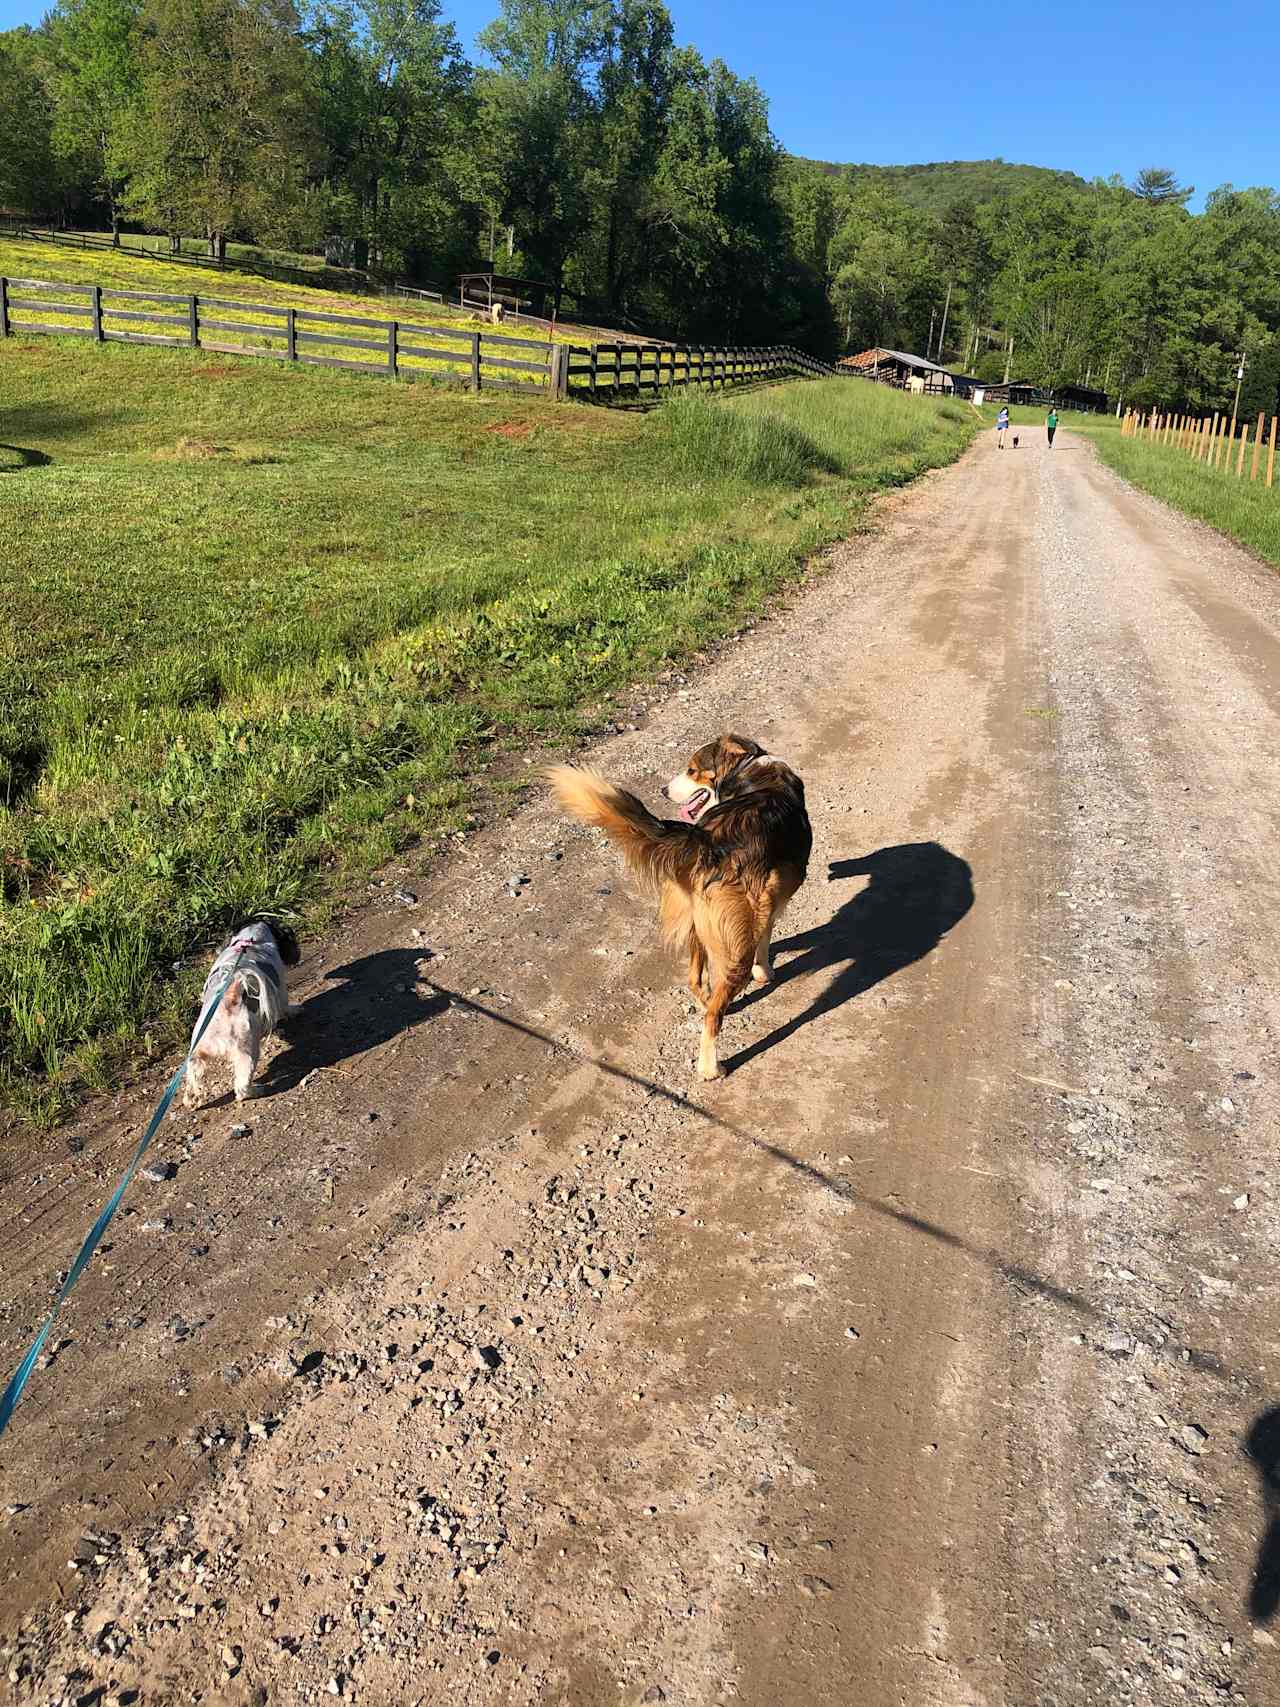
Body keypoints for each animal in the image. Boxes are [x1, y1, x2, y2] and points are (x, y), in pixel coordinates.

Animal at [182, 921, 300, 1106]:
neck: (249, 940)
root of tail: (227, 999)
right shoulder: (280, 990)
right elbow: (285, 1006)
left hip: (197, 1055)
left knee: (193, 1079)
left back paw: (191, 1101)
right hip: (247, 1050)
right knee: (241, 1087)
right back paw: (256, 1090)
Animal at [549, 734, 812, 1078]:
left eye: (691, 770)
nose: (662, 790)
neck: (749, 770)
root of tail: (705, 839)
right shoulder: (772, 898)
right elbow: (766, 938)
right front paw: (764, 971)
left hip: (697, 919)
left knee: (696, 981)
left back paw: (706, 1002)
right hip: (734, 933)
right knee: (713, 1015)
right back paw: (711, 1067)